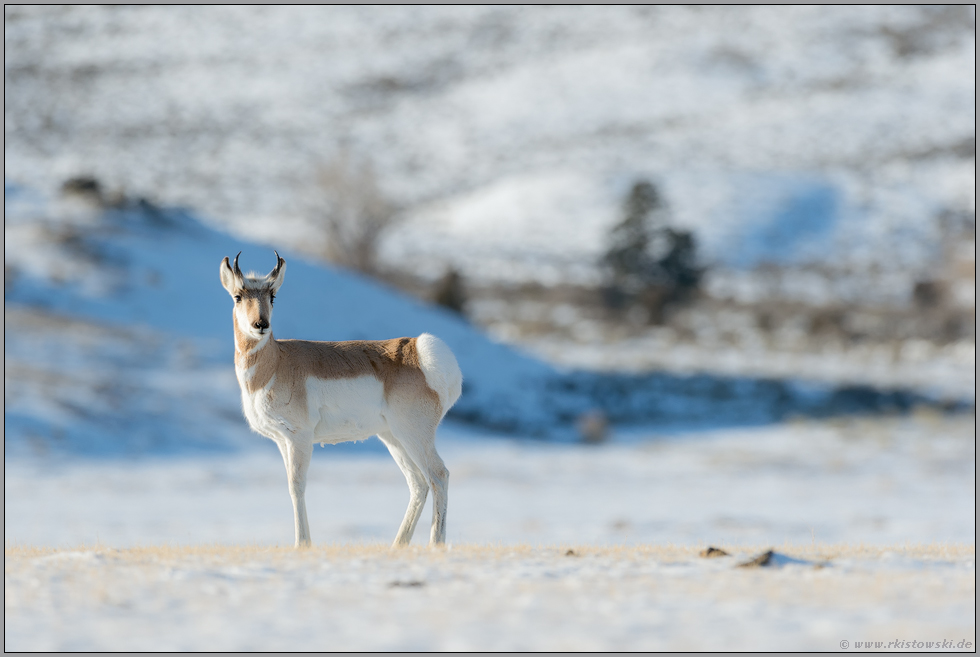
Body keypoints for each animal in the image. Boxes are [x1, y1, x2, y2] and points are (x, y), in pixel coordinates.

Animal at [221, 254, 464, 544]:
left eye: (272, 296)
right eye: (238, 296)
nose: (261, 325)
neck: (277, 361)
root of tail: (419, 350)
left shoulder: (299, 438)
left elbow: (297, 487)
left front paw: (302, 544)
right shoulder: (281, 440)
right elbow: (291, 487)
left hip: (414, 435)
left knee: (439, 475)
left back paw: (435, 544)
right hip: (394, 437)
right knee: (418, 483)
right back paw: (397, 546)